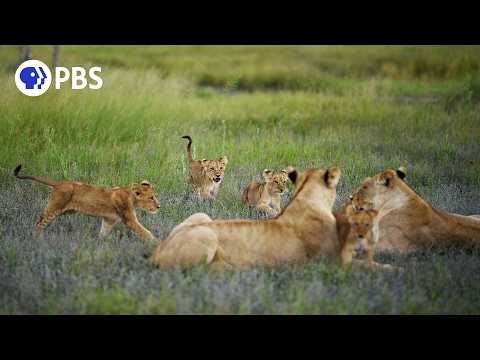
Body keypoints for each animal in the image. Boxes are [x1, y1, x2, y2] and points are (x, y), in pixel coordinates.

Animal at [12, 165, 159, 240]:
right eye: (151, 197)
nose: (159, 206)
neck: (131, 197)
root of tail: (59, 183)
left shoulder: (109, 220)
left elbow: (103, 233)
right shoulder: (129, 220)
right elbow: (146, 232)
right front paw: (156, 244)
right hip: (54, 208)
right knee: (40, 223)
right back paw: (36, 239)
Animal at [148, 165, 344, 268]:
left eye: (284, 181)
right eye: (275, 181)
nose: (282, 189)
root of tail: (157, 251)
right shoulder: (259, 205)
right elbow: (268, 209)